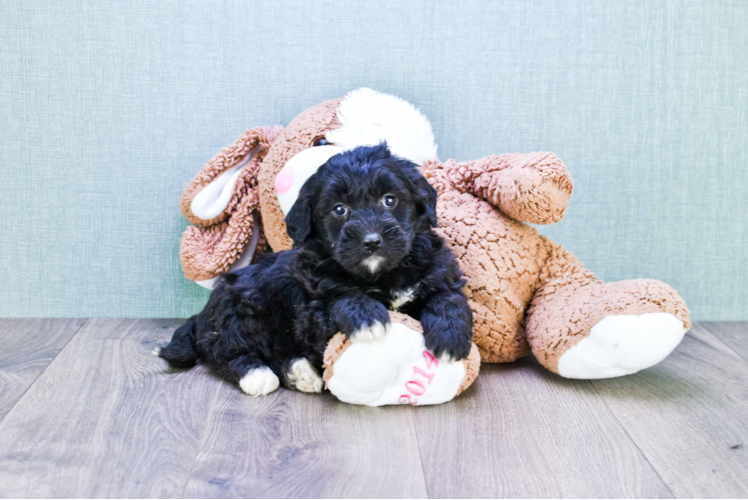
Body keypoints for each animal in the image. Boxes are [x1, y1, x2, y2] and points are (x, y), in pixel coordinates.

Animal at [158, 144, 474, 394]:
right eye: (339, 209)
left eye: (390, 200)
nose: (372, 241)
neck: (383, 274)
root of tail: (202, 315)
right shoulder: (311, 312)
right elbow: (339, 296)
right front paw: (366, 316)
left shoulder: (439, 271)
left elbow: (448, 297)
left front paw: (450, 336)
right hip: (242, 310)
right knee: (221, 350)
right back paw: (257, 374)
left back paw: (301, 374)